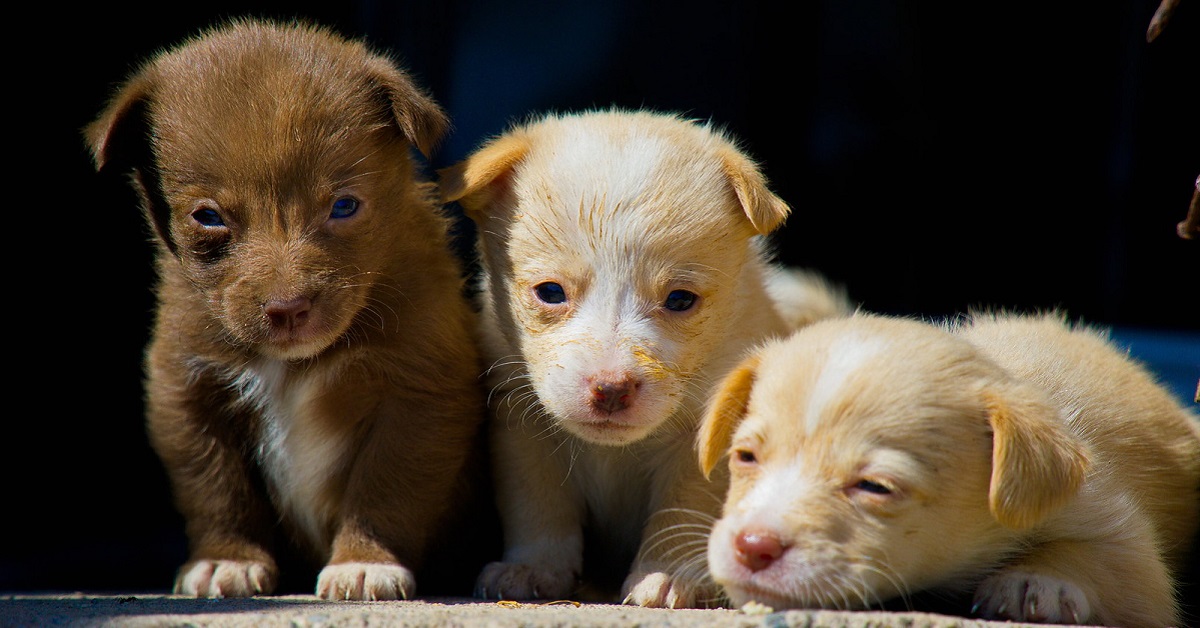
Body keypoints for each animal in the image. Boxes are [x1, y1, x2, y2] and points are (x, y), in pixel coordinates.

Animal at [83, 18, 492, 600]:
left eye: (344, 206)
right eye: (208, 216)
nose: (288, 308)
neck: (296, 364)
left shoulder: (422, 389)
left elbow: (386, 485)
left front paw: (364, 562)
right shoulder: (186, 391)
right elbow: (215, 485)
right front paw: (225, 559)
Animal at [436, 109, 849, 609]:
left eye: (680, 300)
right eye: (550, 293)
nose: (611, 389)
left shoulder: (702, 445)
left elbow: (681, 511)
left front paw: (668, 575)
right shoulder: (525, 428)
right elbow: (538, 505)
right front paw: (533, 567)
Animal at [700, 312, 1200, 624]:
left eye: (875, 487)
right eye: (745, 457)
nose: (753, 546)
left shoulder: (1121, 537)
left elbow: (1096, 557)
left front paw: (1033, 581)